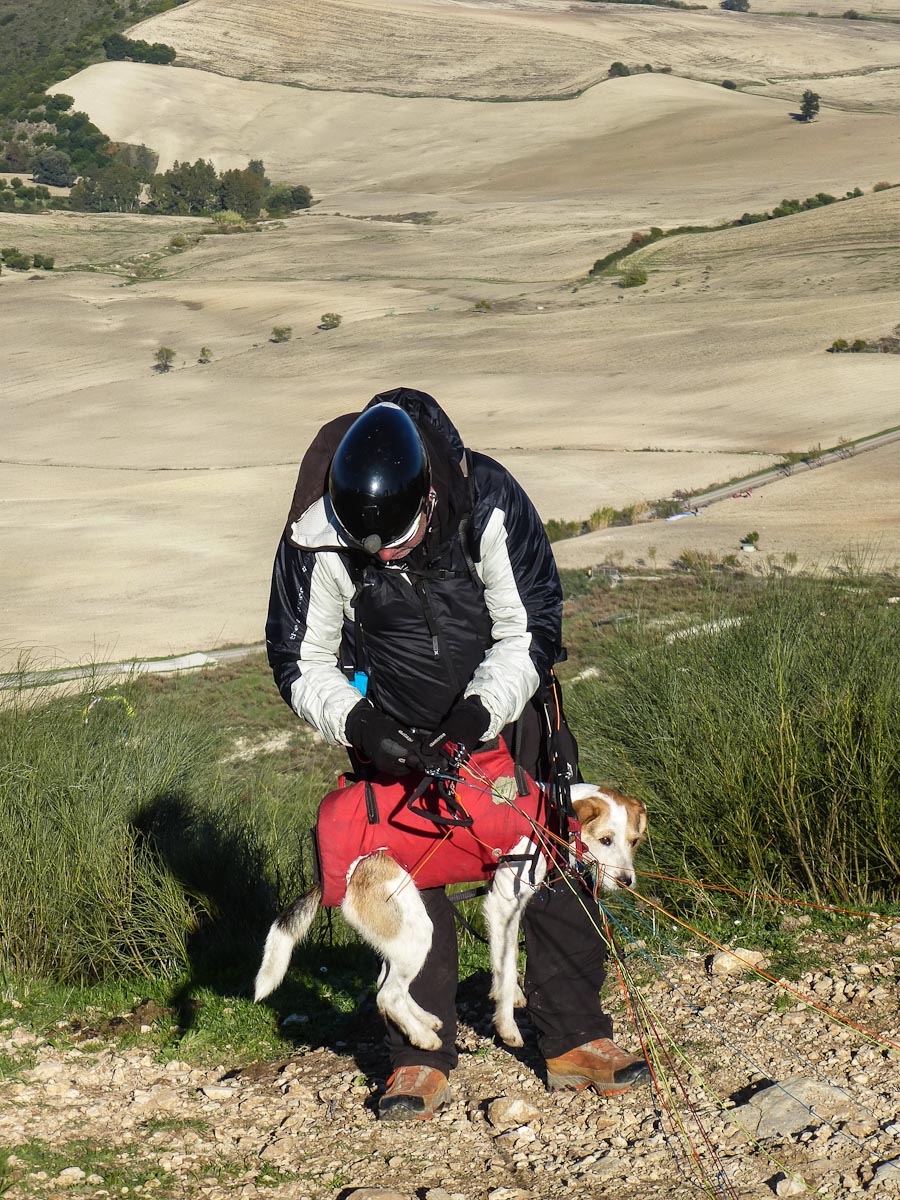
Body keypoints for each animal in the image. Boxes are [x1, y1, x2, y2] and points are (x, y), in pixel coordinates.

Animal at [254, 784, 647, 1050]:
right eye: (605, 840)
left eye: (634, 841)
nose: (627, 883)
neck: (547, 817)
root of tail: (332, 878)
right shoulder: (503, 905)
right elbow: (506, 972)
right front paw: (508, 1027)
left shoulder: (503, 910)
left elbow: (504, 963)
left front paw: (510, 997)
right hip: (416, 931)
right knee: (386, 996)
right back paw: (422, 1037)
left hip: (401, 936)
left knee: (386, 985)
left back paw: (424, 1019)